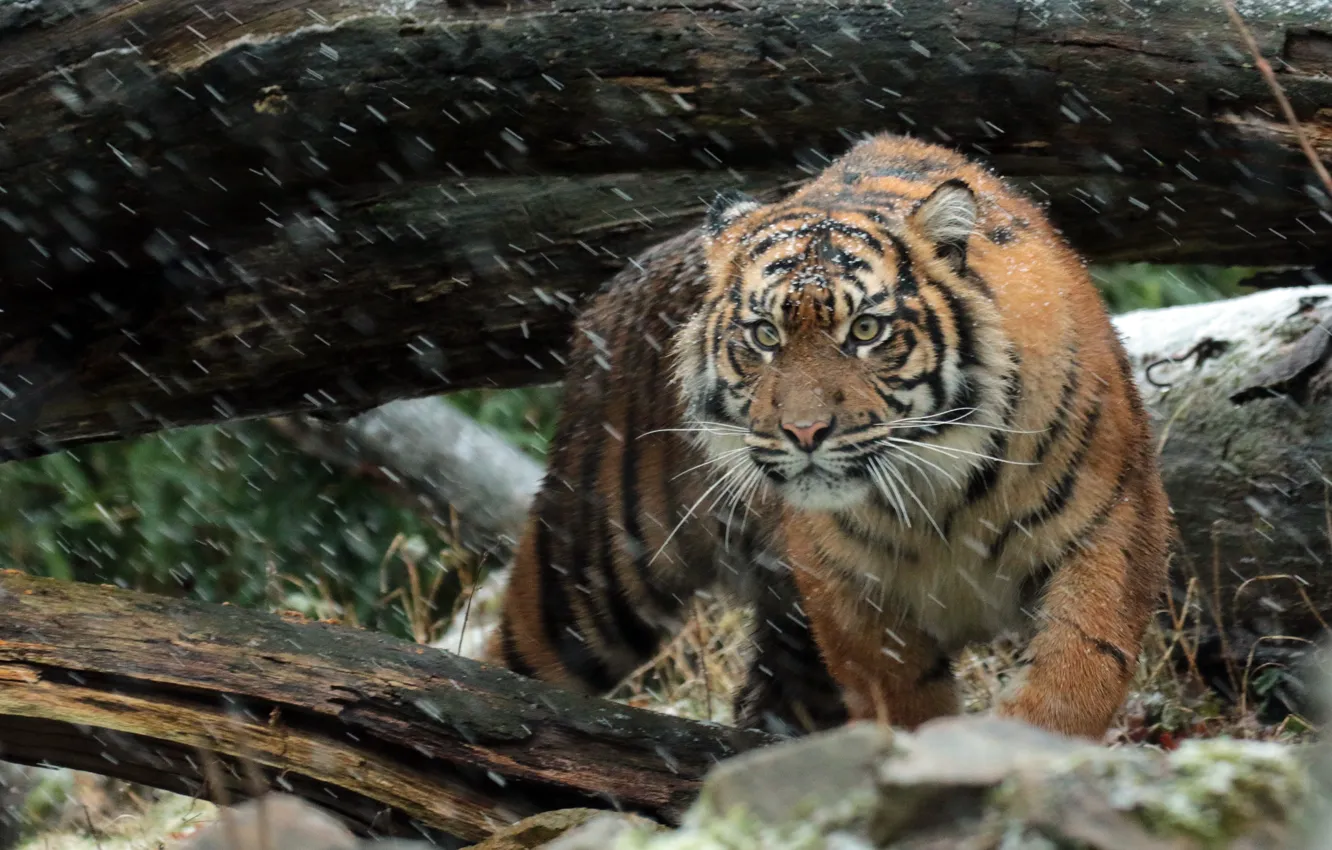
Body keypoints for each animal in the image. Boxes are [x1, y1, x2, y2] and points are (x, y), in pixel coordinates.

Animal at [483, 132, 1173, 742]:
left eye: (865, 330)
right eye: (764, 336)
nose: (805, 431)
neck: (939, 495)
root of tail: (610, 288)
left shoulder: (1114, 523)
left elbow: (1077, 673)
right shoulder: (842, 584)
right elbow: (902, 695)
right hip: (593, 570)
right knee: (511, 665)